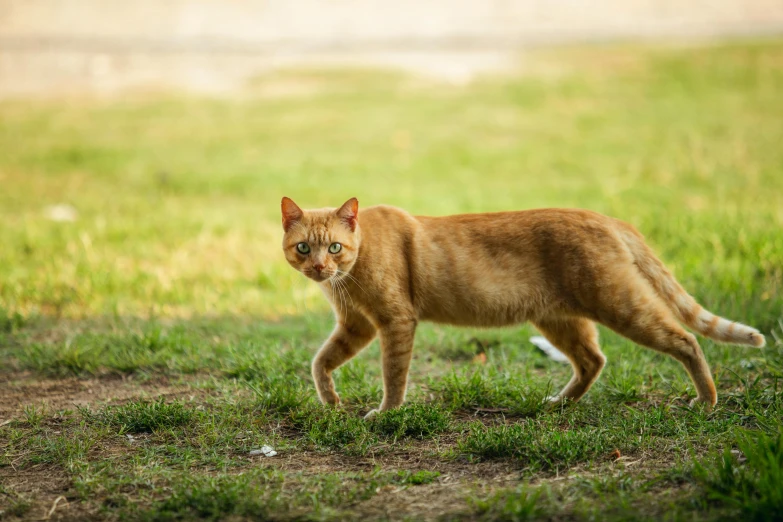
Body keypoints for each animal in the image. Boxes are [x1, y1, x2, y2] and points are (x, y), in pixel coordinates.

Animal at [282, 195, 764, 414]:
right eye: (304, 248)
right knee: (593, 360)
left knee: (686, 341)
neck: (348, 278)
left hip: (623, 306)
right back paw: (559, 403)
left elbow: (393, 375)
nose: (320, 268)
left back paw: (706, 400)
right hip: (559, 320)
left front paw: (386, 414)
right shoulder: (356, 326)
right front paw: (331, 402)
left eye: (335, 247)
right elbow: (320, 362)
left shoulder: (394, 322)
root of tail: (607, 217)